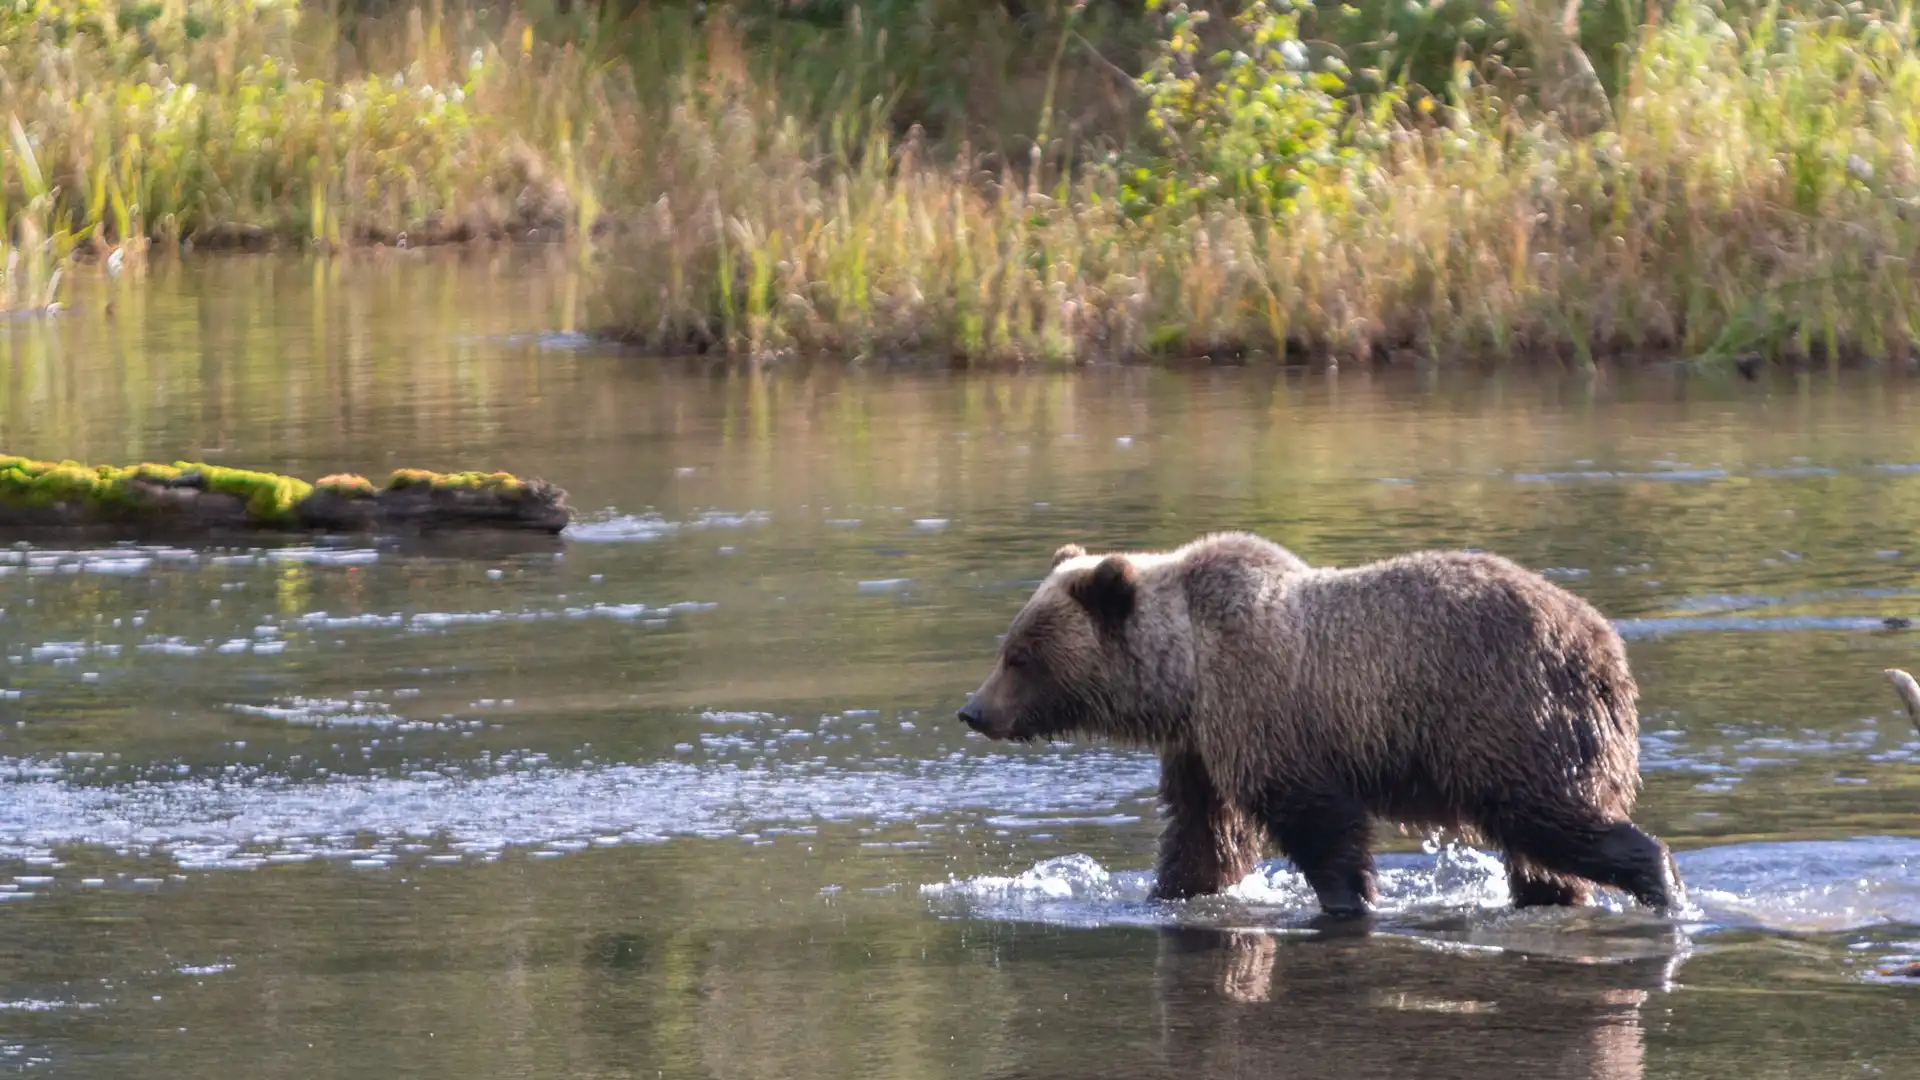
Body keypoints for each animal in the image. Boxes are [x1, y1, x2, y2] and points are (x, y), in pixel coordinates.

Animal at [960, 530, 1681, 914]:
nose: (973, 710)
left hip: (1511, 715)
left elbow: (1314, 818)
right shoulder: (1201, 745)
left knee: (1551, 817)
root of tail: (1605, 646)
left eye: (1019, 657)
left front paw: (1348, 895)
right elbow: (1201, 833)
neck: (1187, 674)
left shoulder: (1266, 712)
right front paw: (1168, 892)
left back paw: (1660, 883)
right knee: (1543, 850)